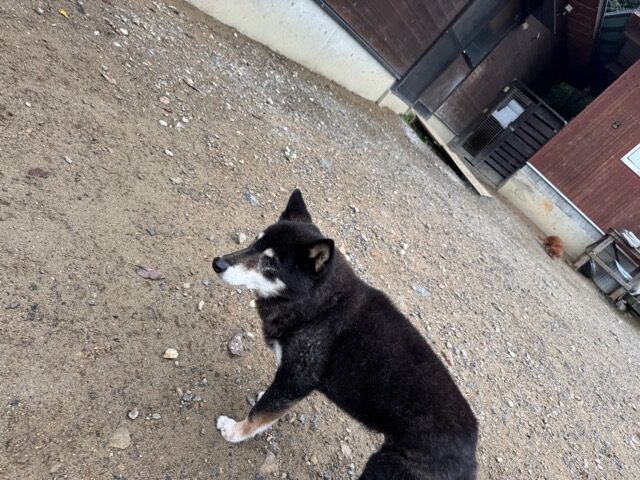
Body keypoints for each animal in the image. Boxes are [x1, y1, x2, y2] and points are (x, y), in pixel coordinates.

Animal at [213, 190, 478, 479]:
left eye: (270, 262)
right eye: (255, 242)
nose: (218, 262)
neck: (321, 304)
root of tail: (470, 460)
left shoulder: (298, 378)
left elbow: (258, 415)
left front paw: (234, 430)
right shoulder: (289, 380)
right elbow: (270, 403)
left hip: (383, 468)